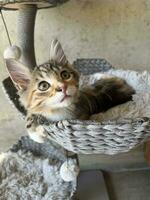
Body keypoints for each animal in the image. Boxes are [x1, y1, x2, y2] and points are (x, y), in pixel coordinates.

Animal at [5, 39, 135, 142]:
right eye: (43, 86)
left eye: (65, 75)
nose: (63, 87)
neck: (58, 111)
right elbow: (31, 112)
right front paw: (34, 130)